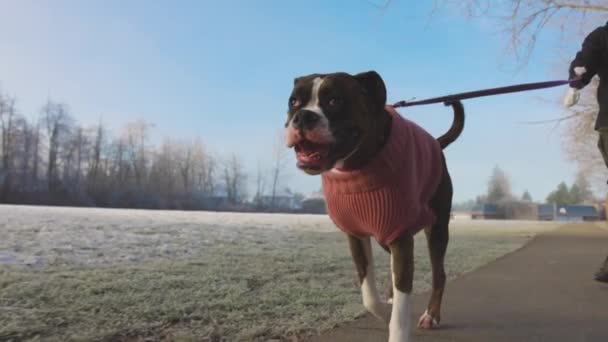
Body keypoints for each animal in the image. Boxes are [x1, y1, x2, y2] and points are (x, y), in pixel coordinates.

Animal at [282, 71, 464, 340]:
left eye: (334, 101)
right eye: (293, 102)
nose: (303, 116)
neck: (356, 168)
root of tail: (435, 143)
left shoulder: (400, 236)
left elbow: (401, 306)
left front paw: (397, 324)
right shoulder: (357, 236)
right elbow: (369, 296)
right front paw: (387, 311)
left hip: (436, 229)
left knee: (438, 274)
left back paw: (431, 315)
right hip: (385, 237)